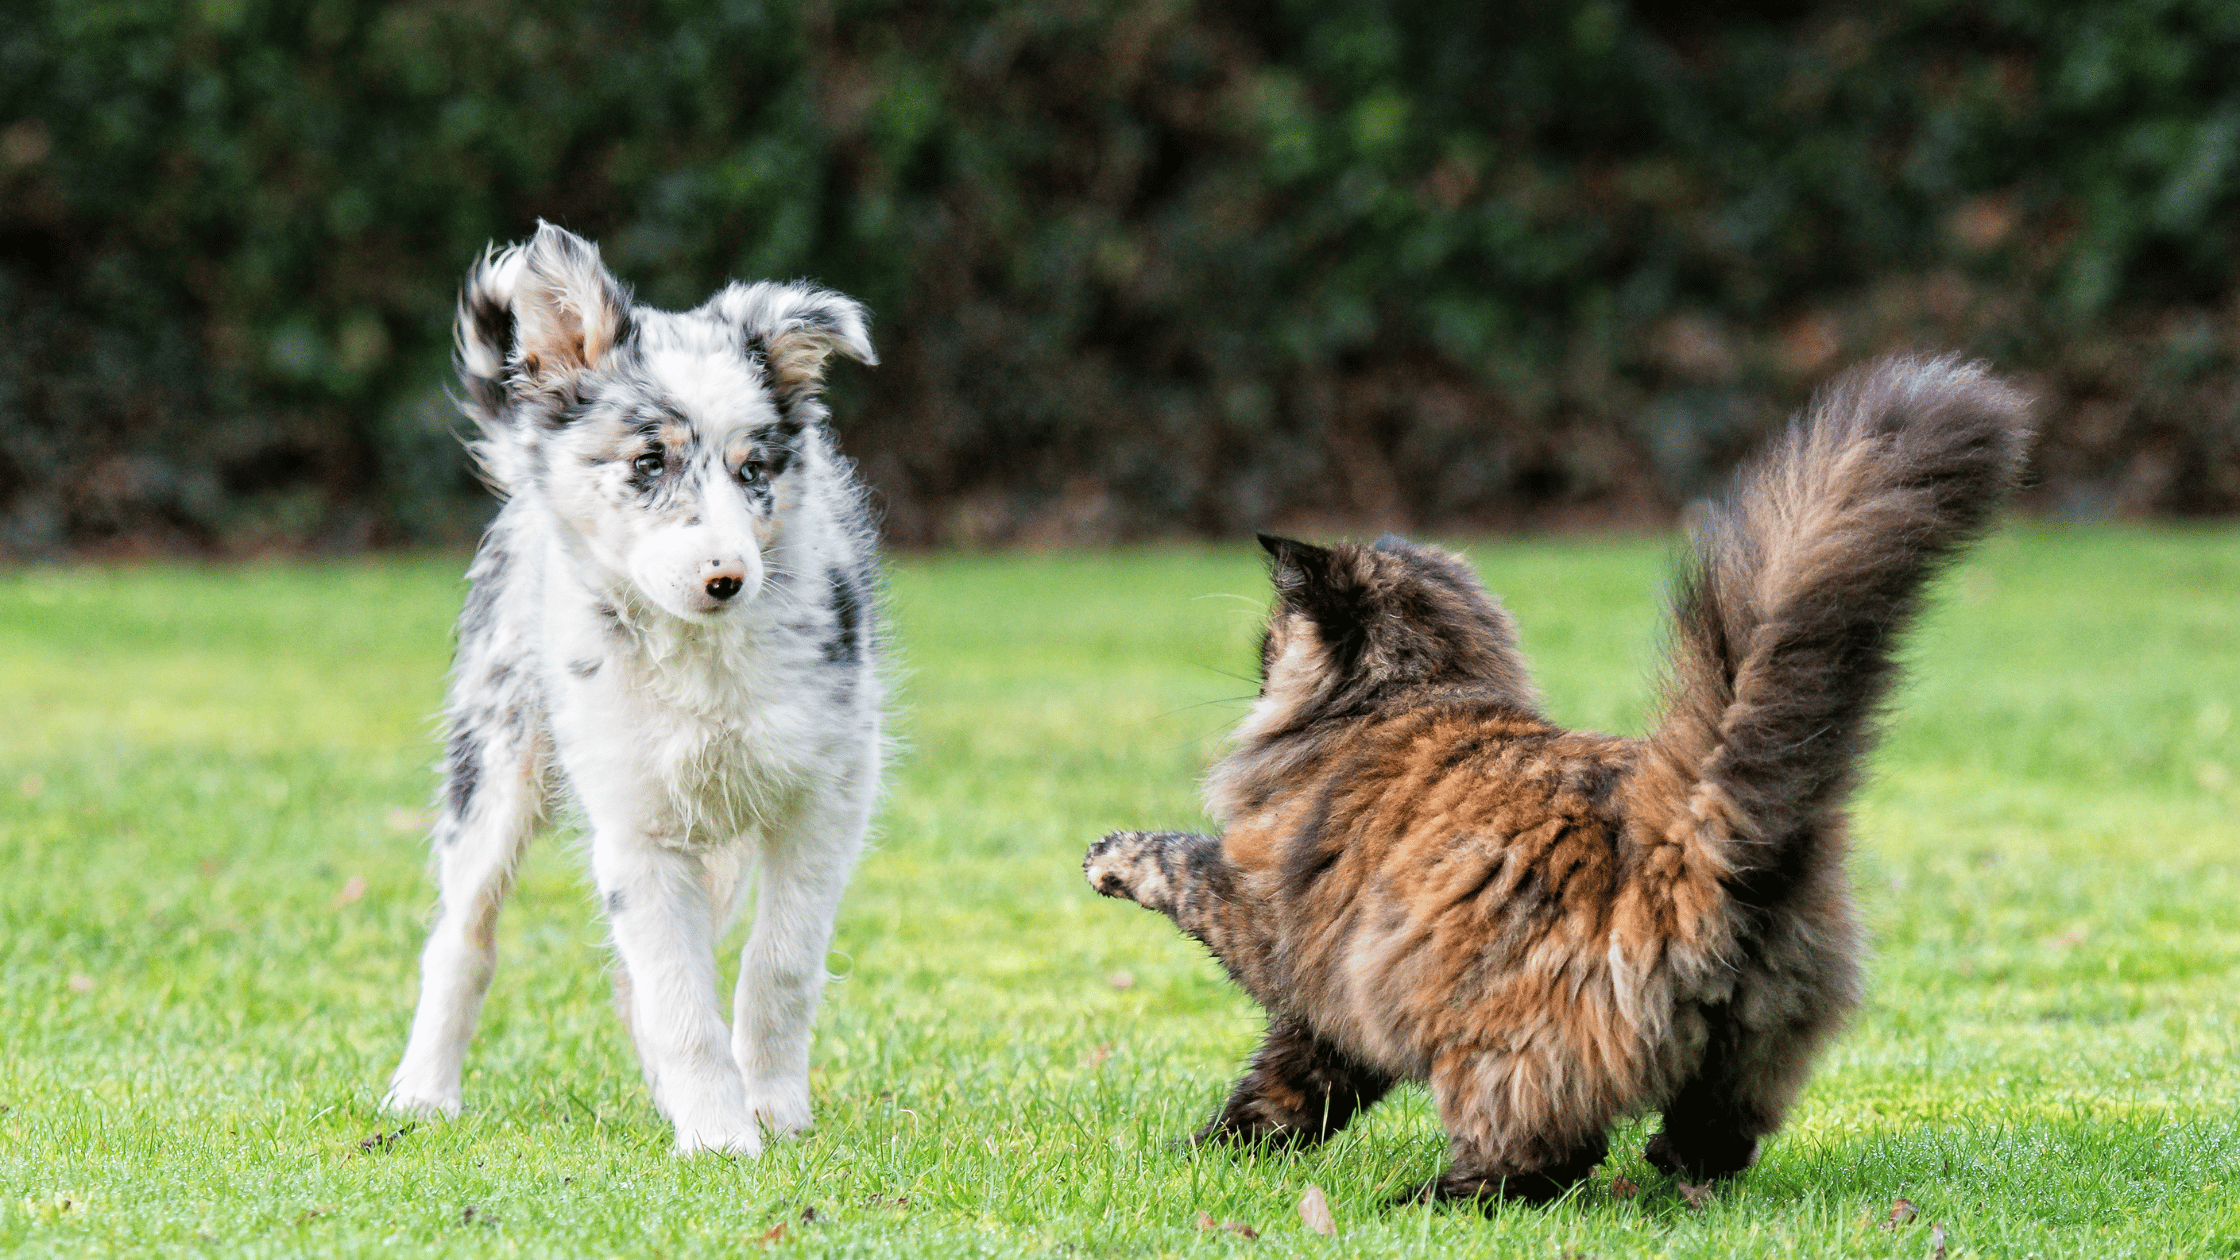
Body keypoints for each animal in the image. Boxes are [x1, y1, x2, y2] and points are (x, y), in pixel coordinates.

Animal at [380, 223, 878, 1147]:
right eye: (650, 461)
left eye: (755, 470)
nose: (727, 579)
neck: (702, 658)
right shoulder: (635, 824)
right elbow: (678, 996)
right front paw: (719, 1139)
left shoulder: (828, 794)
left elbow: (781, 962)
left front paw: (773, 1109)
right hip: (494, 762)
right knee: (463, 938)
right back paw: (422, 1093)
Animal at [1084, 358, 2033, 1201]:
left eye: (1268, 645)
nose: (1255, 675)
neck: (1409, 694)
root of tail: (1693, 827)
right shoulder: (1331, 1004)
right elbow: (1286, 1092)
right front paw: (1215, 1154)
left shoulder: (1272, 920)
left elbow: (1181, 864)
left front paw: (1110, 859)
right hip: (1752, 1042)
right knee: (1716, 1140)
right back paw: (1671, 1170)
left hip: (1494, 1044)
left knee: (1541, 1159)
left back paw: (1428, 1199)